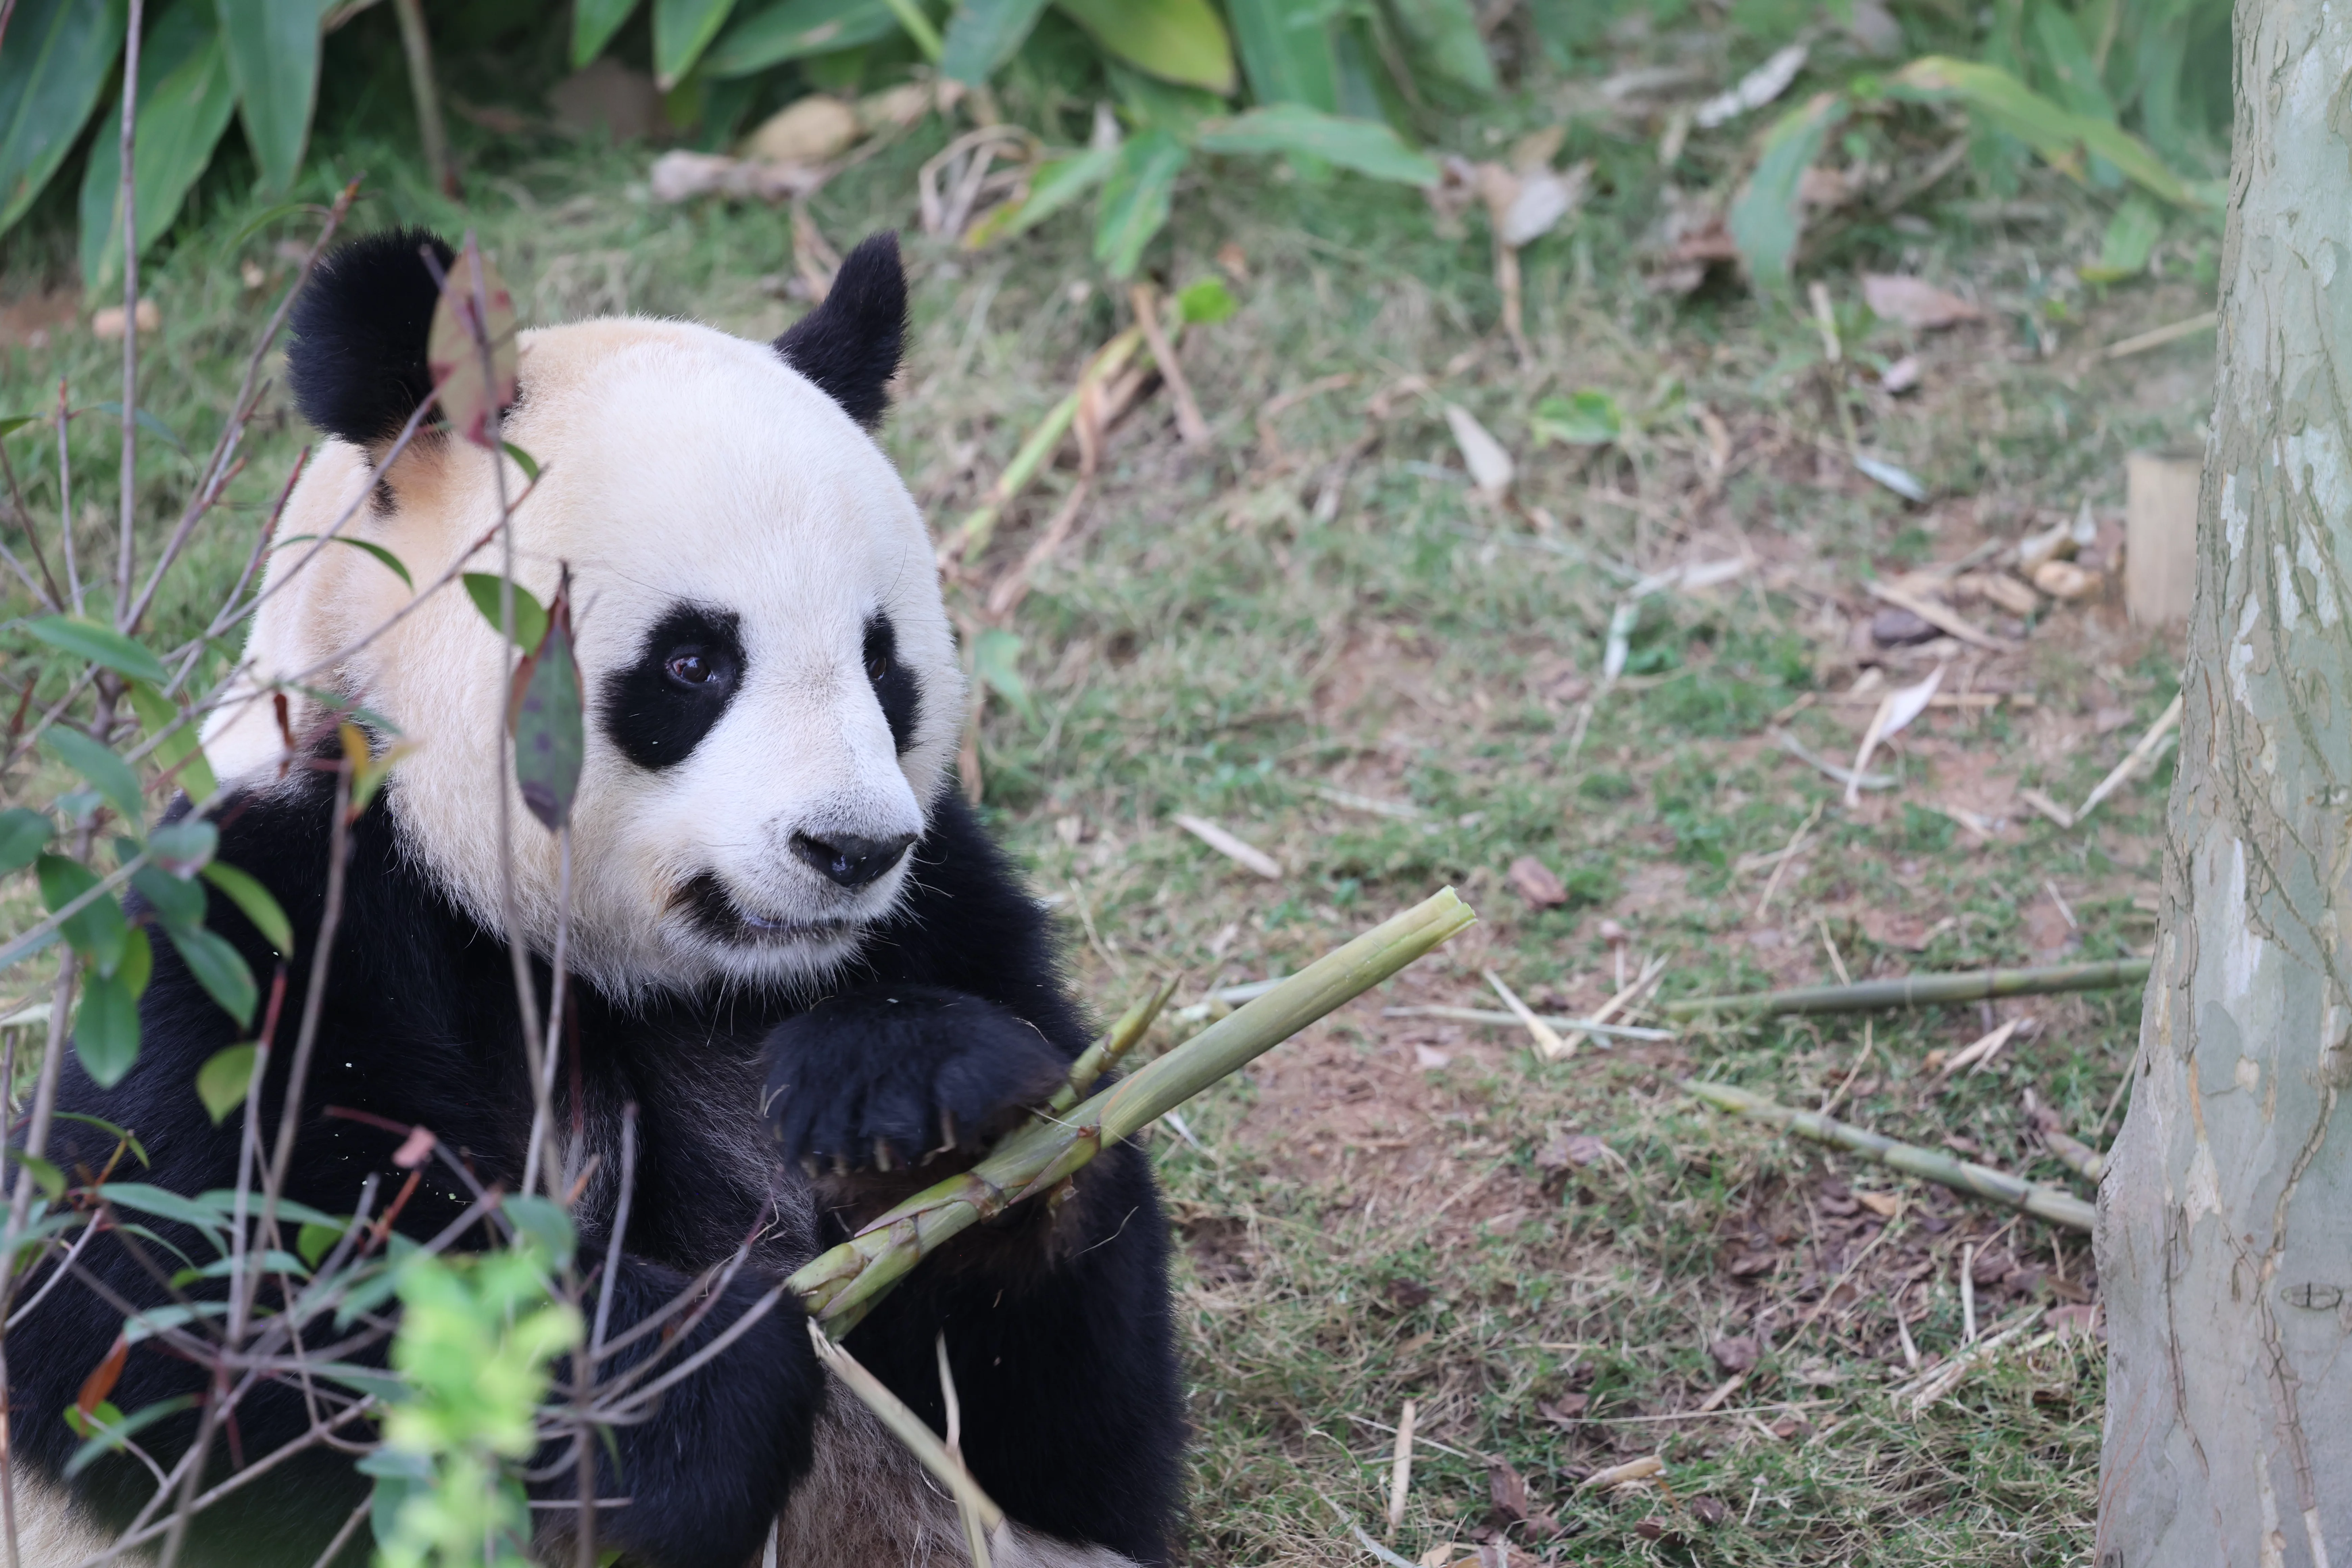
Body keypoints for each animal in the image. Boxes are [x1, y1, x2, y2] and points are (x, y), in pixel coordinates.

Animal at [9, 229, 1184, 1568]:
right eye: (693, 662)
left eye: (884, 663)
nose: (851, 848)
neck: (603, 965)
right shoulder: (258, 909)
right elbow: (157, 1318)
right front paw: (672, 1380)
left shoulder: (945, 909)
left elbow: (1074, 1442)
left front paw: (923, 1108)